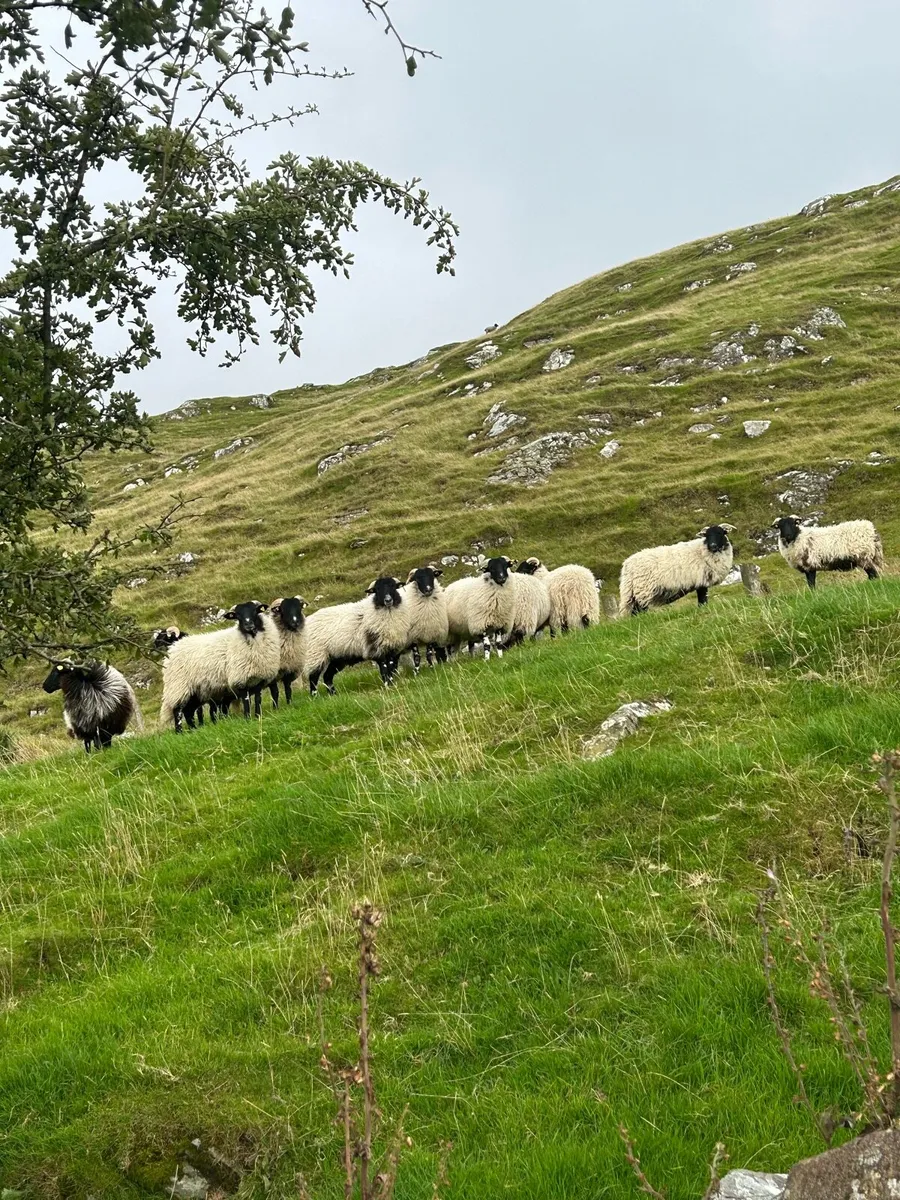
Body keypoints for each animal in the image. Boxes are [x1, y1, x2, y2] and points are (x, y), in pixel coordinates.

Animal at [160, 600, 280, 731]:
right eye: (237, 616)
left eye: (255, 611)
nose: (248, 625)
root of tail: (173, 648)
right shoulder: (240, 679)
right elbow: (246, 700)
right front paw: (248, 718)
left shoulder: (259, 678)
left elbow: (258, 699)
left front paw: (258, 716)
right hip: (179, 687)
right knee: (177, 711)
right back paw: (180, 732)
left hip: (196, 691)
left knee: (188, 711)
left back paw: (194, 730)